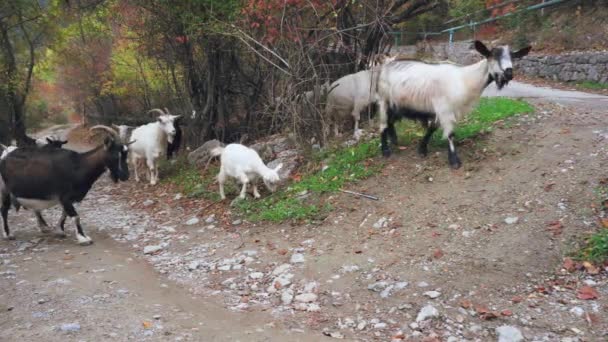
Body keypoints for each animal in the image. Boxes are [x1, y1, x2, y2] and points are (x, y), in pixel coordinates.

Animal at [0, 138, 131, 244]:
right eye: (115, 156)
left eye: (125, 155)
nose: (125, 176)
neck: (78, 166)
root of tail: (4, 157)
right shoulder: (65, 196)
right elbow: (75, 216)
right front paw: (83, 238)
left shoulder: (70, 198)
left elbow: (65, 213)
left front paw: (60, 231)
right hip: (4, 189)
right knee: (4, 209)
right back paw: (8, 234)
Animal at [378, 40, 528, 168]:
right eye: (493, 55)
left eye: (513, 56)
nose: (509, 73)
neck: (465, 79)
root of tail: (387, 64)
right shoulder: (444, 108)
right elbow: (450, 134)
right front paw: (454, 161)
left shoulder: (443, 110)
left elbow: (432, 128)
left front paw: (422, 149)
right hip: (383, 99)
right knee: (383, 124)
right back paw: (385, 151)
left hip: (396, 103)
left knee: (390, 121)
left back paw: (394, 140)